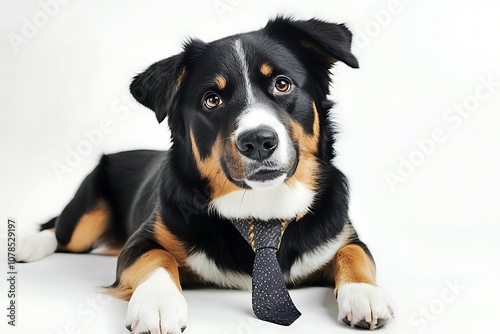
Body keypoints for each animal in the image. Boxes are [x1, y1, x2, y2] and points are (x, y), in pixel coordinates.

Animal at [17, 16, 394, 334]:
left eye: (282, 84)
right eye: (212, 99)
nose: (258, 141)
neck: (262, 208)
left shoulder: (342, 235)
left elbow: (355, 254)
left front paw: (365, 295)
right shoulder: (142, 240)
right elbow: (157, 256)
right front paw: (157, 304)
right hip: (86, 213)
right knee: (58, 230)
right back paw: (27, 245)